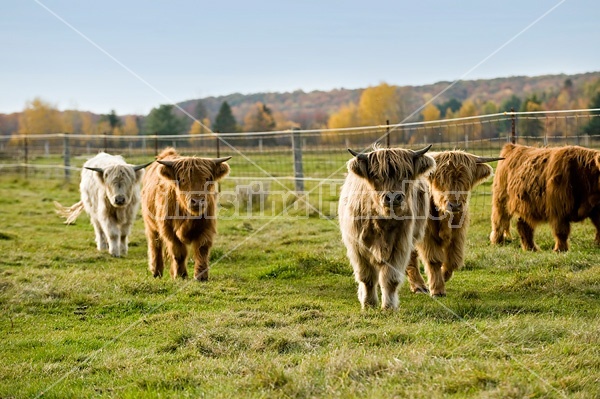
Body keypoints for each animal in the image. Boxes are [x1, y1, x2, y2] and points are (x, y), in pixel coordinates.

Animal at [142, 147, 231, 282]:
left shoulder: (207, 227)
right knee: (155, 245)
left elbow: (202, 249)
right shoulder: (168, 230)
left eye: (207, 179)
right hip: (151, 226)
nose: (197, 201)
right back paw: (156, 272)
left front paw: (201, 275)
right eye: (183, 179)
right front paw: (180, 275)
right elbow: (178, 252)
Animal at [338, 145, 436, 310]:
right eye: (375, 175)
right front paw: (368, 304)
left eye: (407, 173)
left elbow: (390, 279)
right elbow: (366, 277)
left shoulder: (400, 245)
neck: (381, 221)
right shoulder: (357, 247)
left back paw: (419, 286)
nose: (393, 197)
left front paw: (389, 307)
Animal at [406, 150, 504, 296]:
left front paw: (443, 276)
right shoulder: (427, 236)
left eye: (466, 180)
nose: (455, 205)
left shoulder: (458, 234)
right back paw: (418, 286)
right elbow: (434, 260)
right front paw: (437, 288)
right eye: (440, 180)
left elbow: (453, 260)